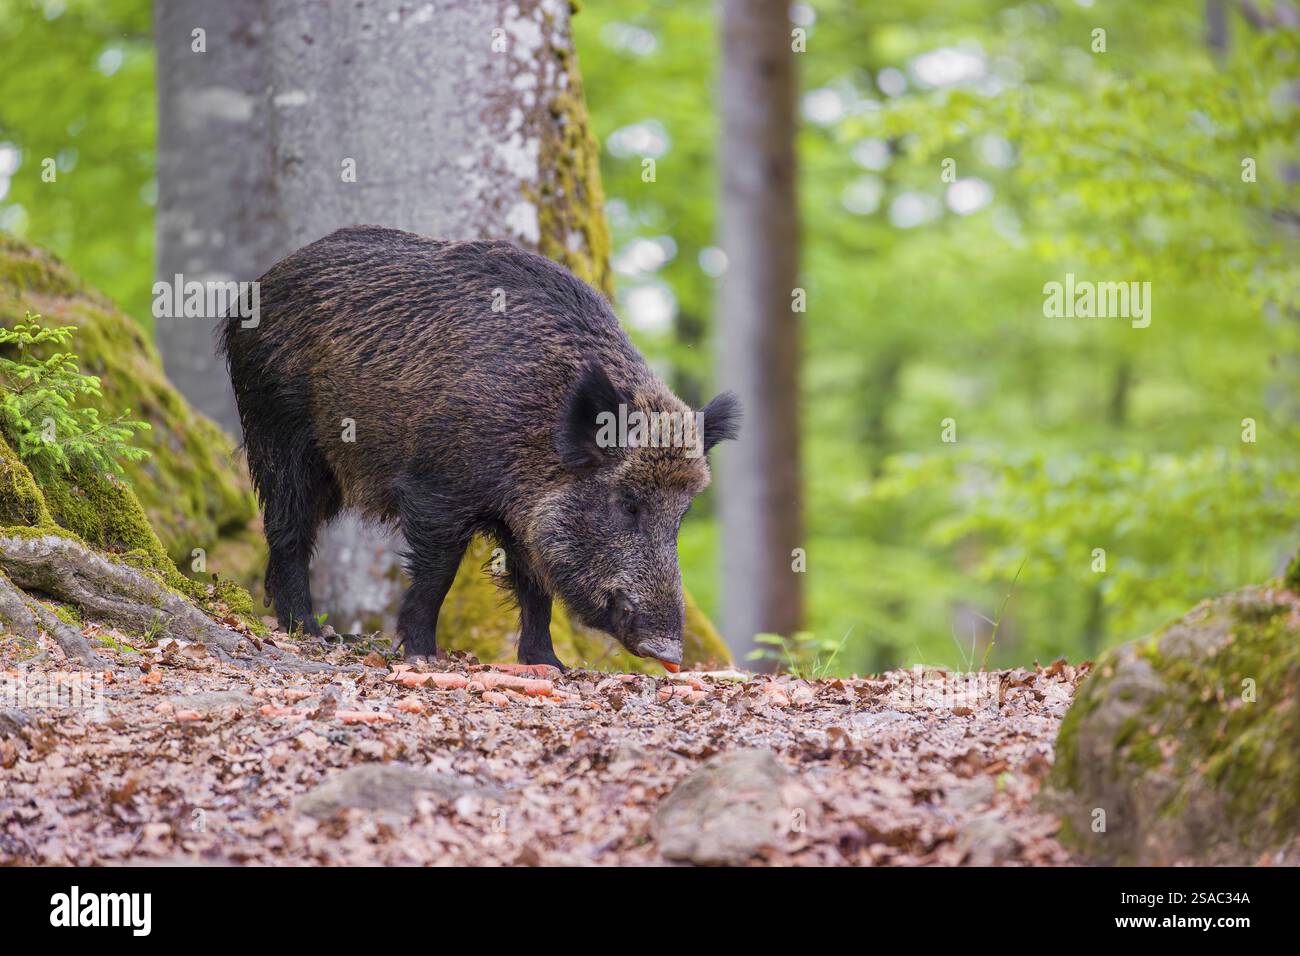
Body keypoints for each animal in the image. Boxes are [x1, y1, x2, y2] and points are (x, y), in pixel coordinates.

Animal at [219, 225, 740, 670]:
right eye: (628, 504)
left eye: (682, 514)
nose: (668, 651)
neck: (538, 428)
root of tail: (255, 290)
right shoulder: (435, 490)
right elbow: (439, 573)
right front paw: (421, 655)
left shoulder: (523, 517)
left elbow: (535, 586)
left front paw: (550, 665)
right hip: (278, 428)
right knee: (288, 527)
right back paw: (311, 632)